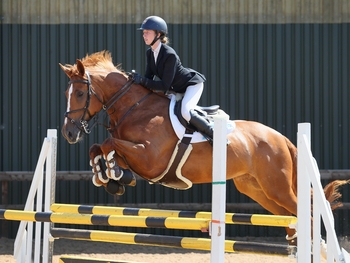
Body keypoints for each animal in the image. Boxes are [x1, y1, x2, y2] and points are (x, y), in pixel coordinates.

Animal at [60, 50, 348, 246]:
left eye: (80, 94)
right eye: (67, 94)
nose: (68, 133)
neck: (134, 108)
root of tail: (281, 138)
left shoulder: (150, 159)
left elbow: (108, 144)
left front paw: (114, 173)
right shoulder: (137, 156)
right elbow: (98, 147)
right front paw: (108, 175)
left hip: (277, 187)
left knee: (307, 216)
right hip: (258, 190)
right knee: (292, 218)